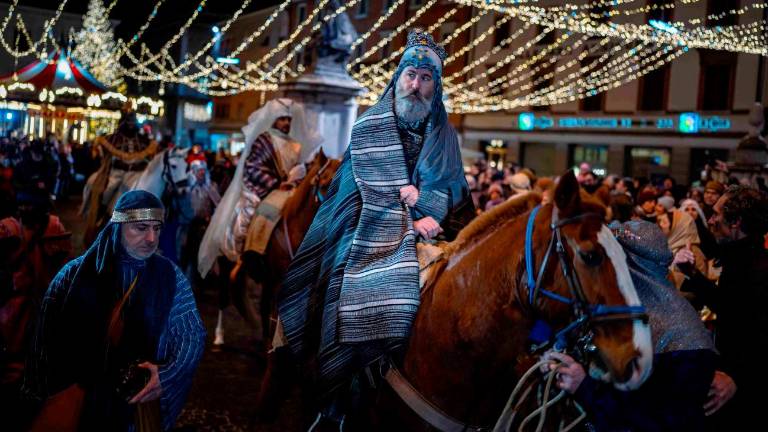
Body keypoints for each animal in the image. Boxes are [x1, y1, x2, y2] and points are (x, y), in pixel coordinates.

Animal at [212, 150, 340, 346]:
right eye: (325, 184)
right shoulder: (280, 282)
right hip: (226, 260)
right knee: (224, 296)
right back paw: (220, 335)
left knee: (263, 305)